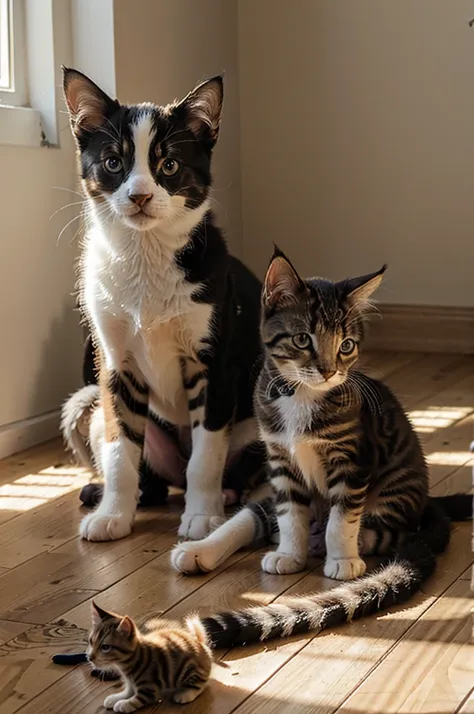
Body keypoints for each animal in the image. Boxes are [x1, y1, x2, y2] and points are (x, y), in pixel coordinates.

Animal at [60, 69, 262, 540]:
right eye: (113, 162)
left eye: (168, 164)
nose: (139, 196)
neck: (145, 257)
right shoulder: (115, 366)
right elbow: (120, 451)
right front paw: (114, 514)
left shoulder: (214, 363)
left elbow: (207, 452)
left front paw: (202, 515)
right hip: (105, 410)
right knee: (144, 470)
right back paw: (109, 496)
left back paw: (229, 494)